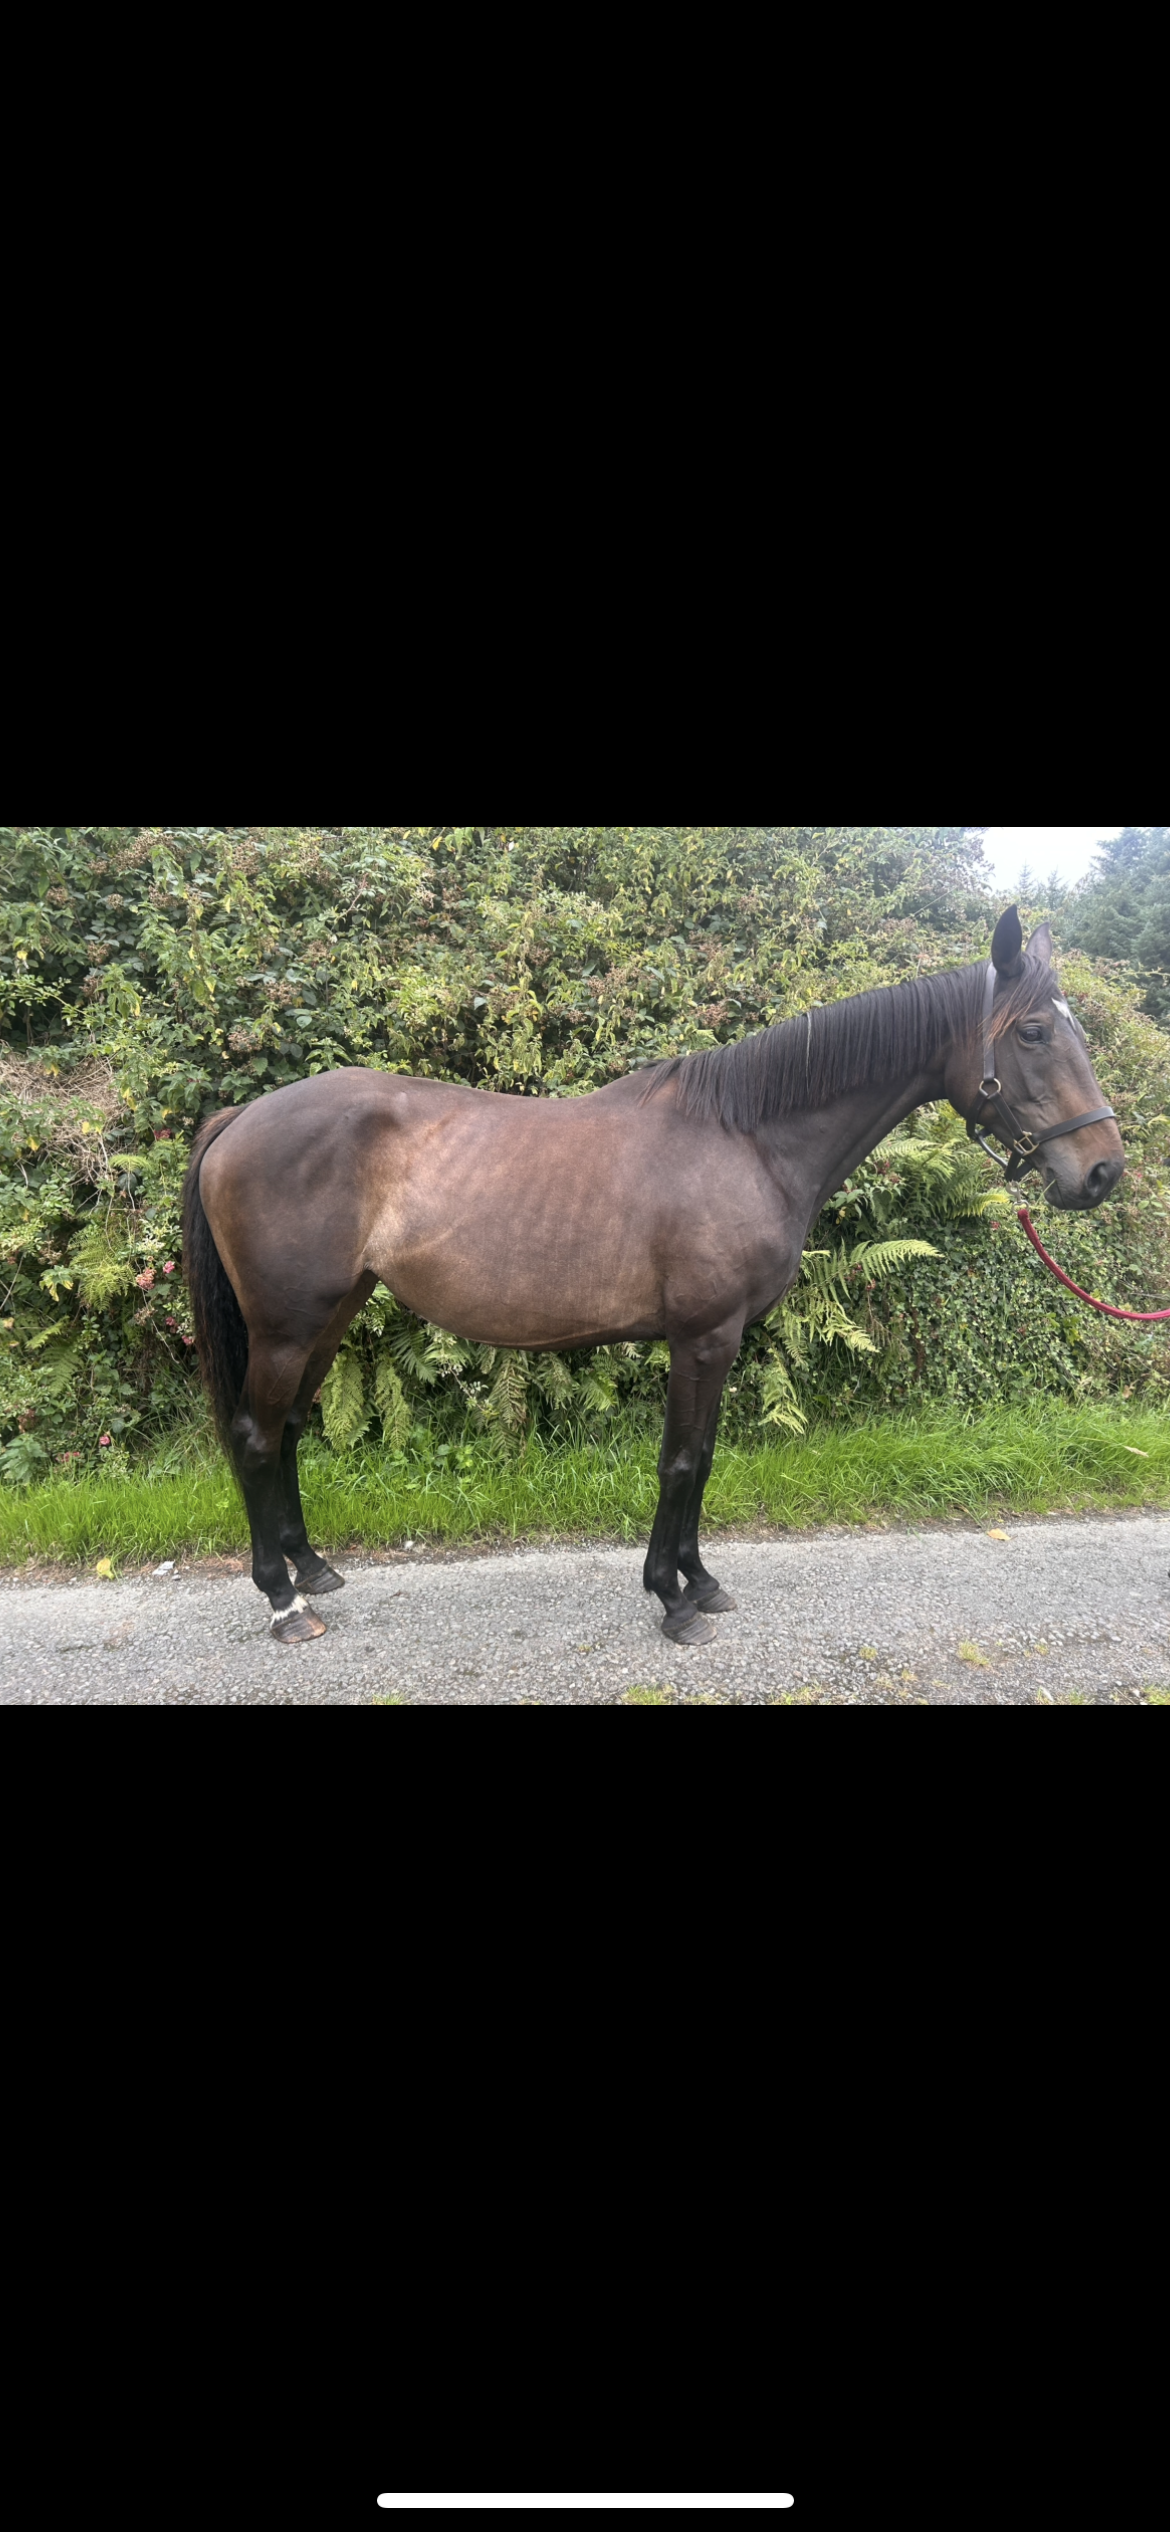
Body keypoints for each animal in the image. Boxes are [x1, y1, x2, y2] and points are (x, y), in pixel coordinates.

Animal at [182, 908, 1123, 1647]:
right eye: (1034, 1032)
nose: (1103, 1172)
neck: (745, 1138)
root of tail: (242, 1117)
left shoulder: (719, 1339)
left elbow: (700, 1461)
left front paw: (701, 1582)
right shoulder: (703, 1336)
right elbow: (681, 1461)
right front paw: (673, 1601)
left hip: (330, 1315)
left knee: (288, 1431)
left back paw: (314, 1569)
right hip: (286, 1327)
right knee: (257, 1437)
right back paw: (284, 1603)